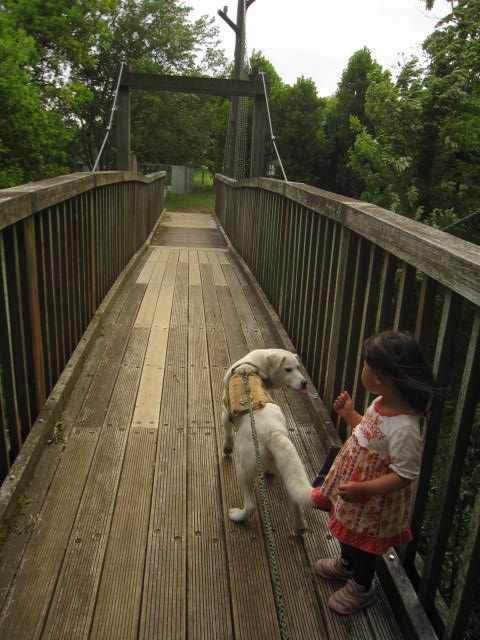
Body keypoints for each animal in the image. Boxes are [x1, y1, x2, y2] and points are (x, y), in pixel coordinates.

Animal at [222, 350, 314, 528]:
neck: (251, 366)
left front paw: (227, 448)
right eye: (289, 369)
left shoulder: (224, 412)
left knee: (250, 505)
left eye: (297, 367)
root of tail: (274, 434)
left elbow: (228, 433)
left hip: (242, 467)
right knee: (294, 498)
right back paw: (300, 525)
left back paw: (237, 516)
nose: (305, 383)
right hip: (285, 468)